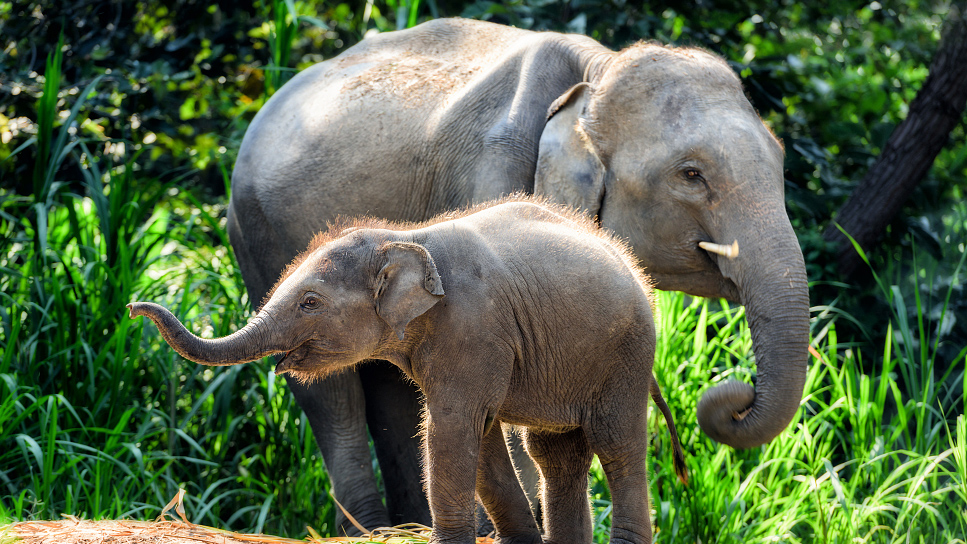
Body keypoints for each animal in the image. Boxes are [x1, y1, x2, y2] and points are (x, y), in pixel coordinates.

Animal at [130, 197, 687, 544]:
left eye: (310, 303)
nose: (136, 307)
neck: (404, 236)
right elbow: (479, 435)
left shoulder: (473, 329)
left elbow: (450, 429)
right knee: (556, 453)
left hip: (627, 356)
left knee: (617, 445)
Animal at [227, 18, 809, 532]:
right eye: (691, 174)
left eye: (781, 162)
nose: (733, 397)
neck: (596, 72)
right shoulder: (492, 173)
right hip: (258, 236)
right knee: (333, 399)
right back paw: (369, 529)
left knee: (389, 385)